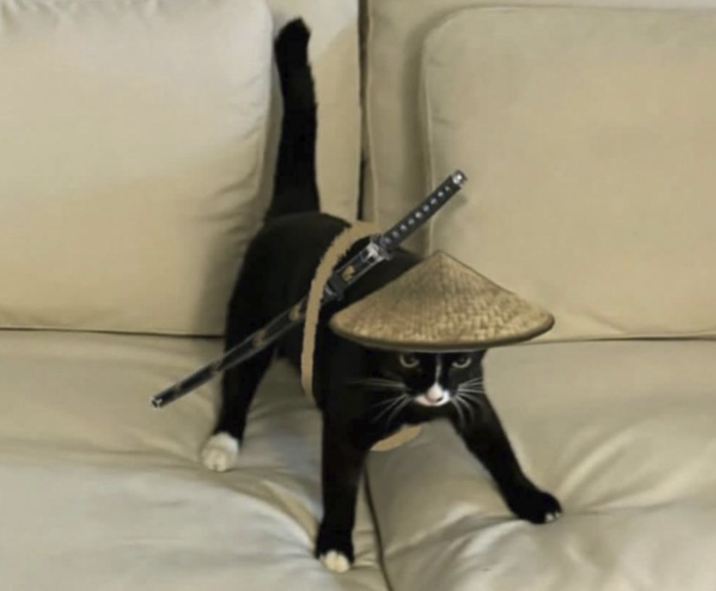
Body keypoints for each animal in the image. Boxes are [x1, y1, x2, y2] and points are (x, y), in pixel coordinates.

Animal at [201, 18, 562, 574]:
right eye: (409, 358)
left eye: (460, 360)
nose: (434, 394)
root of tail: (293, 210)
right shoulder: (345, 423)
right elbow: (340, 484)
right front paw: (335, 543)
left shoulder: (473, 398)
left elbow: (499, 448)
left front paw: (531, 498)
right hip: (250, 319)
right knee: (238, 382)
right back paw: (223, 444)